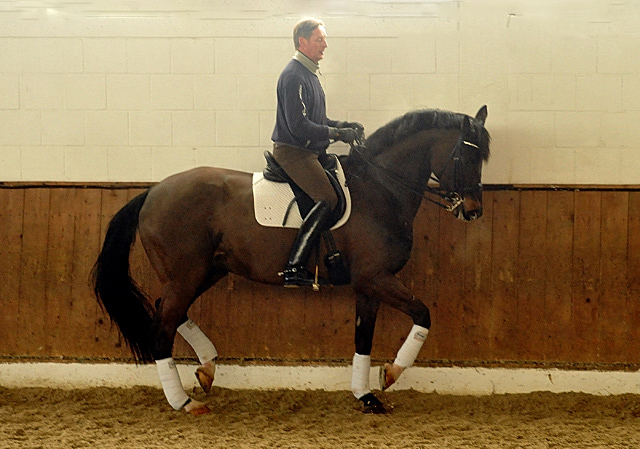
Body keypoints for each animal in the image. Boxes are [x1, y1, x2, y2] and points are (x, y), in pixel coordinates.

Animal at [91, 105, 490, 412]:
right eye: (467, 155)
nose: (473, 211)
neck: (381, 189)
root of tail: (152, 192)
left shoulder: (369, 284)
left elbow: (363, 338)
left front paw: (366, 395)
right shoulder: (376, 278)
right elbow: (423, 314)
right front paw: (390, 374)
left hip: (204, 271)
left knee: (169, 313)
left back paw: (207, 368)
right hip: (186, 275)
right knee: (163, 327)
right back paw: (184, 402)